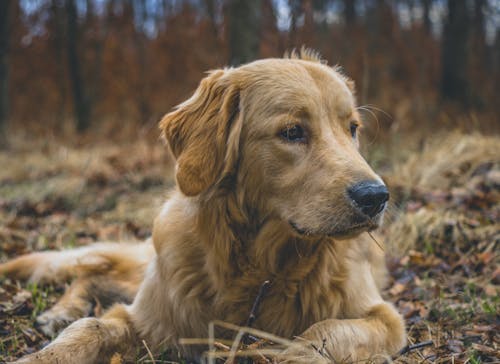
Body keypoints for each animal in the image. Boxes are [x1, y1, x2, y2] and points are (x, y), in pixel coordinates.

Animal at [0, 49, 406, 362]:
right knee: (92, 273)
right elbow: (90, 327)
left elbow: (323, 332)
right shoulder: (149, 317)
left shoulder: (386, 318)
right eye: (292, 132)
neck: (261, 266)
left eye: (352, 129)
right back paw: (61, 311)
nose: (376, 196)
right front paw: (43, 354)